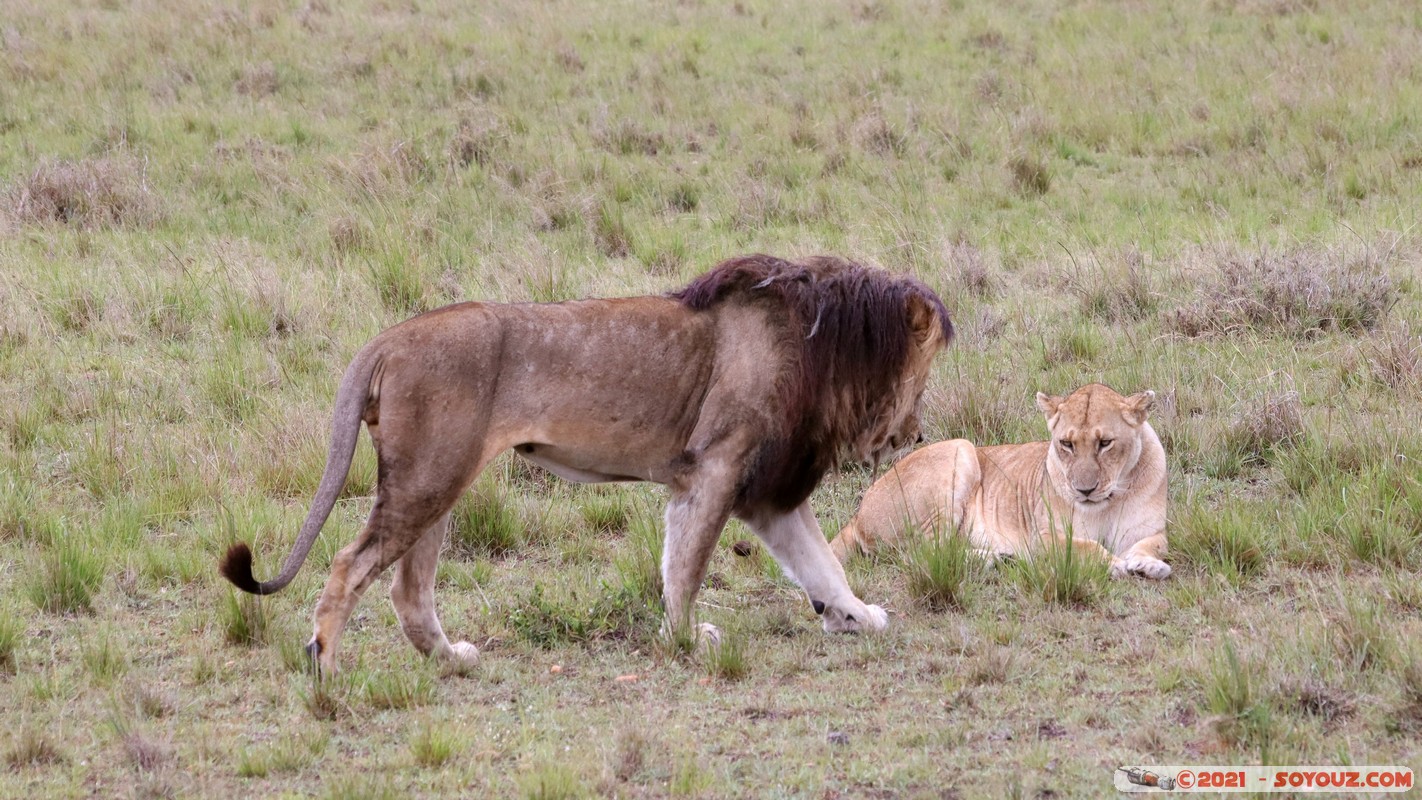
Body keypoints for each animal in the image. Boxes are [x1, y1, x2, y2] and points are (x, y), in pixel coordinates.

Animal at [220, 254, 953, 674]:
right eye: (923, 378)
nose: (917, 434)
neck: (821, 348)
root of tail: (390, 338)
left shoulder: (764, 490)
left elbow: (820, 562)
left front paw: (855, 614)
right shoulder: (717, 466)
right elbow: (687, 568)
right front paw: (686, 641)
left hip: (438, 479)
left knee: (407, 588)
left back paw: (451, 660)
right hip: (430, 476)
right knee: (351, 564)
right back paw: (325, 665)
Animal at [830, 383, 1170, 579]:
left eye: (1105, 443)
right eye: (1067, 444)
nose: (1084, 490)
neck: (1110, 500)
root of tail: (857, 513)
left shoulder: (1151, 530)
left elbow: (1152, 545)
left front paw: (1148, 565)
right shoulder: (1044, 537)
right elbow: (1085, 546)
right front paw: (1113, 564)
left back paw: (999, 557)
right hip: (961, 450)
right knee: (922, 553)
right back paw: (991, 559)